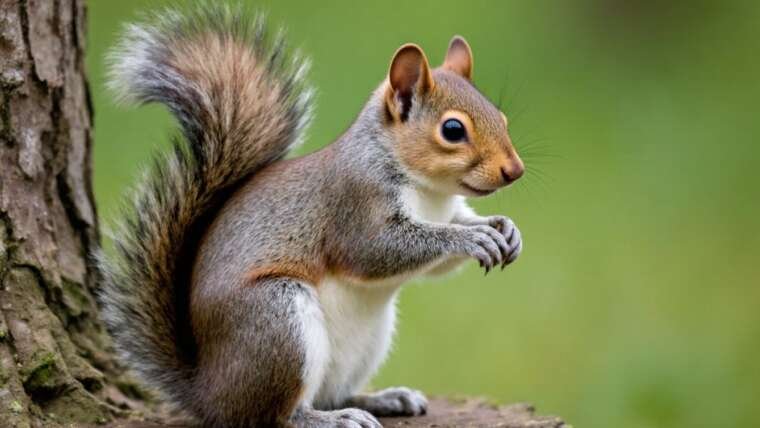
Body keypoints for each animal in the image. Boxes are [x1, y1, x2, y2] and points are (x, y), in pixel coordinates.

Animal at [98, 4, 525, 428]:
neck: (430, 193)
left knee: (333, 393)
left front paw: (503, 228)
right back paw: (331, 419)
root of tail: (208, 393)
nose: (515, 170)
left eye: (502, 118)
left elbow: (446, 253)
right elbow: (377, 252)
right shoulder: (355, 205)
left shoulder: (446, 209)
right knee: (274, 415)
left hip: (366, 342)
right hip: (278, 322)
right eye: (452, 129)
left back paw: (383, 399)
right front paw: (472, 238)